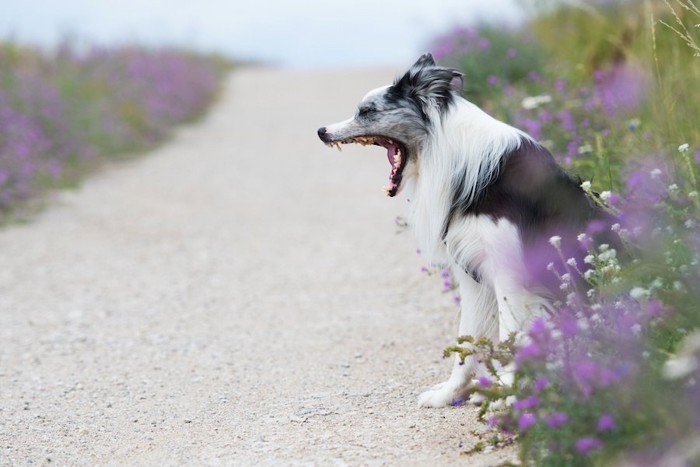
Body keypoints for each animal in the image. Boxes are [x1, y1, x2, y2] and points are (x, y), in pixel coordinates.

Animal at [318, 53, 608, 408]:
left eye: (367, 111)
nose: (322, 131)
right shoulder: (472, 275)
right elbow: (465, 341)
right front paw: (451, 393)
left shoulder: (509, 273)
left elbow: (511, 334)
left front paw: (510, 392)